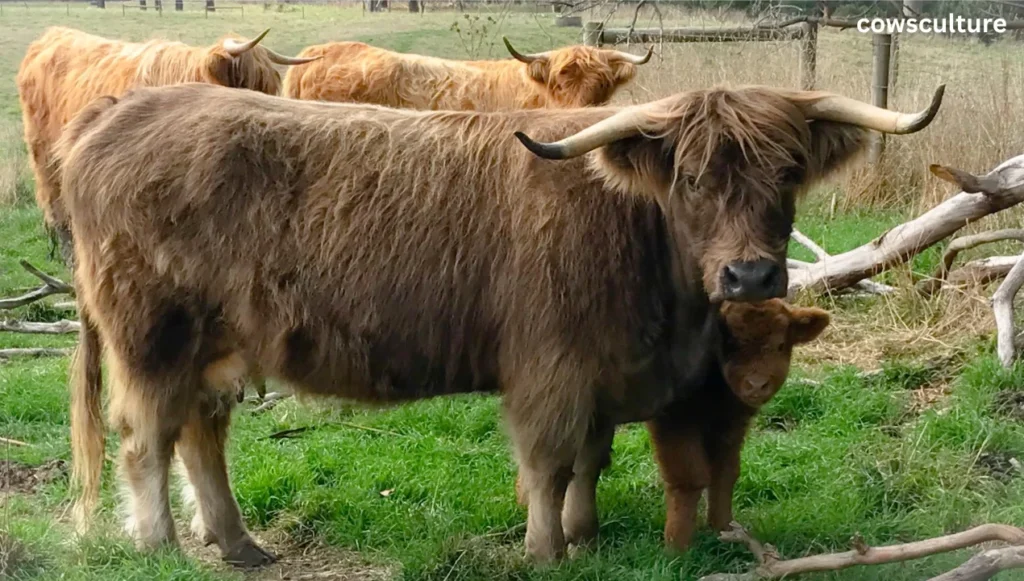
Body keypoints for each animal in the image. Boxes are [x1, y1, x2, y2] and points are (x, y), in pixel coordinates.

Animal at [516, 303, 827, 553]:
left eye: (781, 345)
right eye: (730, 342)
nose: (756, 384)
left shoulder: (731, 423)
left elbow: (726, 472)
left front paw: (724, 529)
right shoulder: (674, 421)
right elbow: (688, 478)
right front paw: (677, 547)